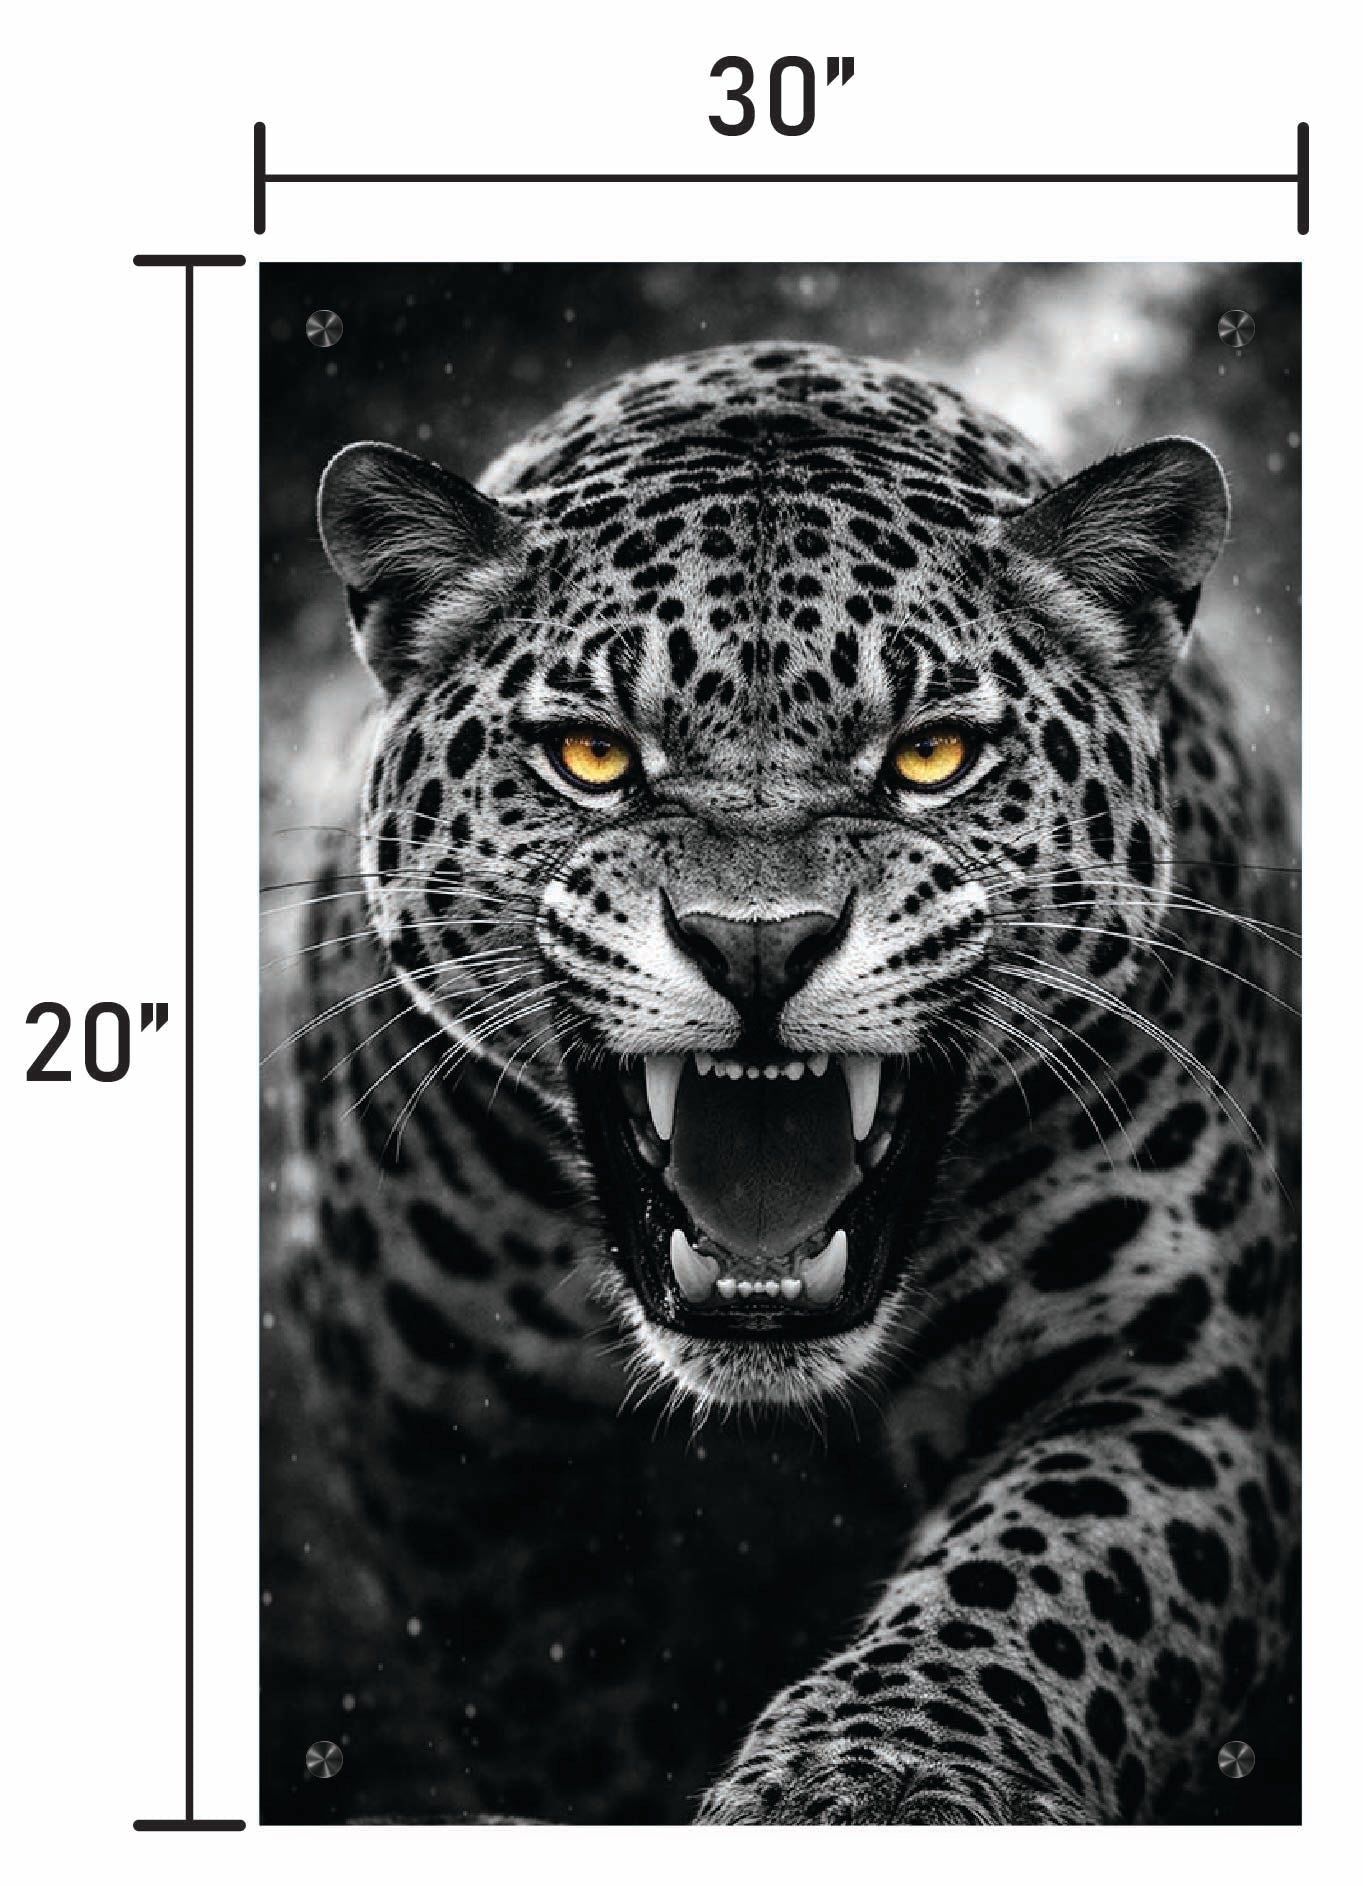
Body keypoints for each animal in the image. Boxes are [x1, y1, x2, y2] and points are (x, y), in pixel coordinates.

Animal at [274, 340, 1300, 1825]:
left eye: (930, 754)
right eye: (592, 755)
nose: (755, 941)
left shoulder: (1161, 1379)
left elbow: (1029, 1587)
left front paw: (873, 1780)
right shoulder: (451, 1431)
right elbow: (558, 1679)